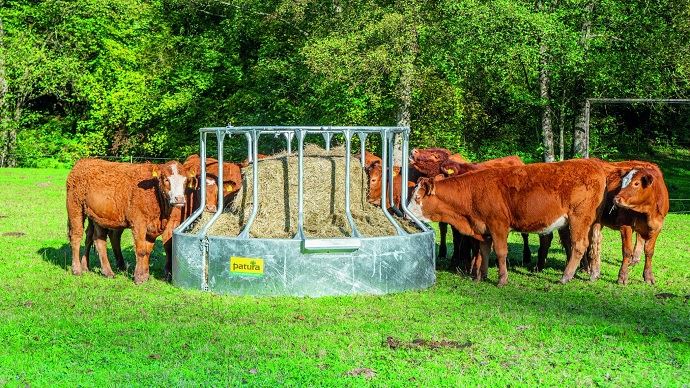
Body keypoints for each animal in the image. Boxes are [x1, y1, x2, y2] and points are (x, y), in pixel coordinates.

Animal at [406, 159, 604, 286]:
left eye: (417, 198)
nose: (406, 215)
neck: (473, 193)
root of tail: (593, 165)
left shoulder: (498, 225)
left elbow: (501, 253)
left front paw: (502, 279)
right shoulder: (483, 228)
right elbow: (484, 252)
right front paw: (480, 276)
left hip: (579, 218)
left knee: (579, 245)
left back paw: (565, 277)